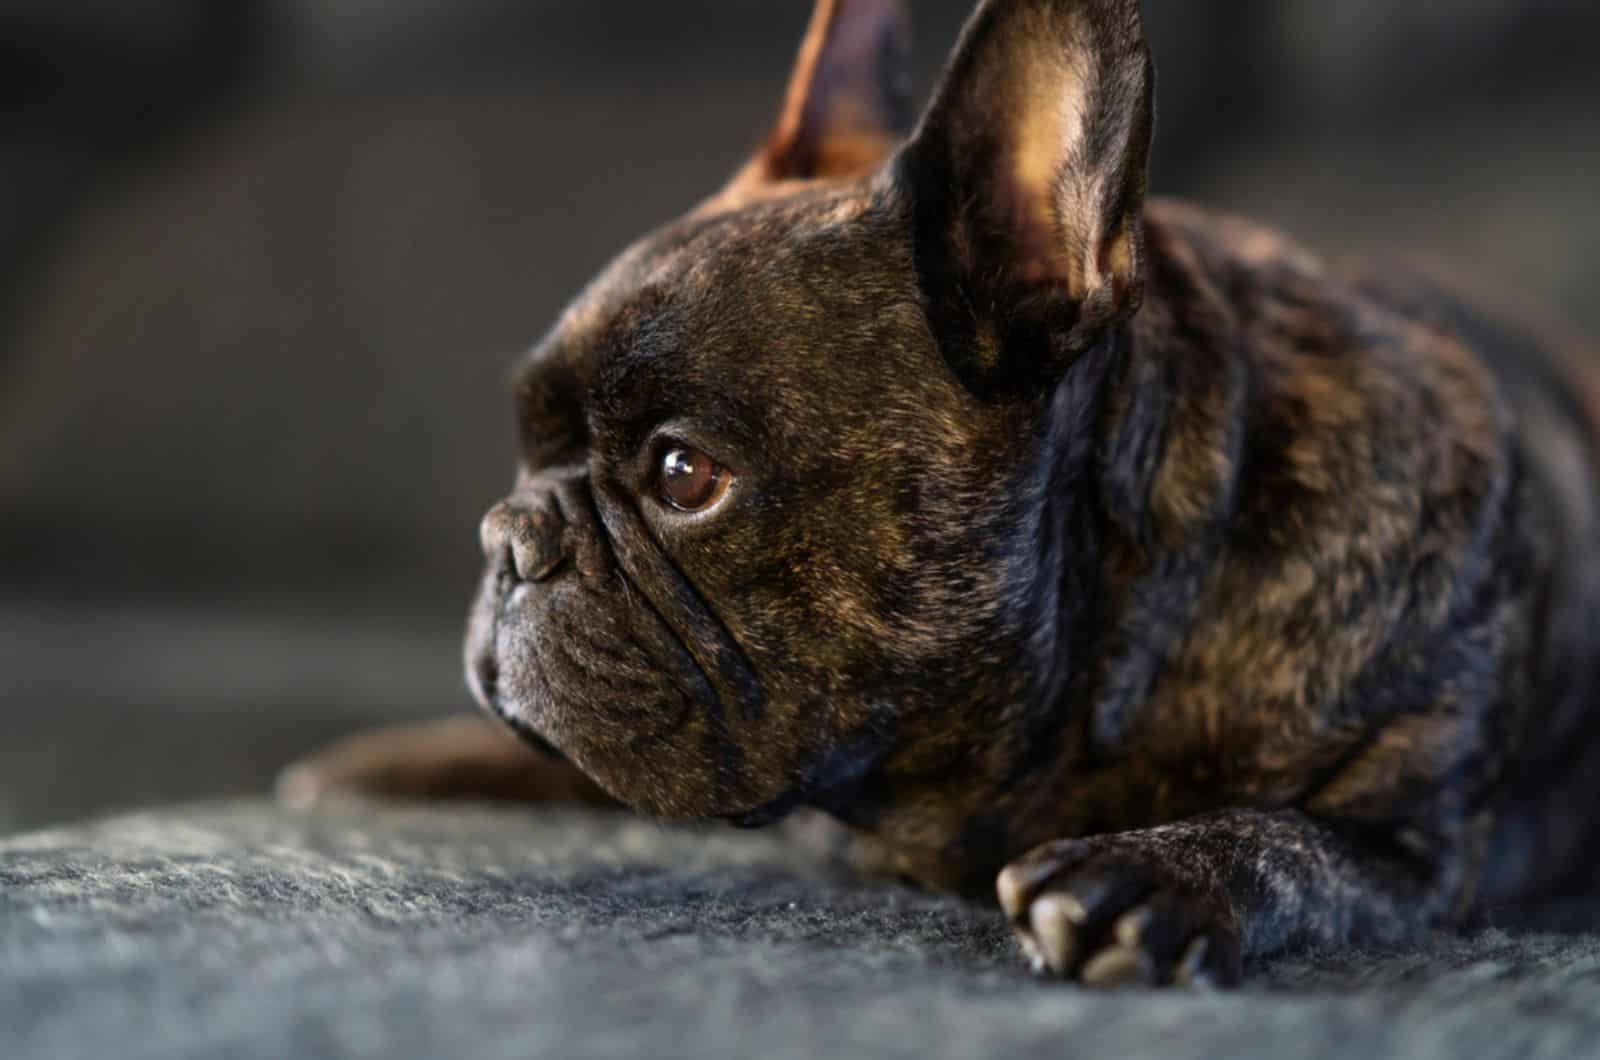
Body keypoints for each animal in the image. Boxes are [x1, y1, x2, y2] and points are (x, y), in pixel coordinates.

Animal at [281, 0, 1600, 992]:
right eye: (526, 447)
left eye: (681, 475)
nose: (511, 536)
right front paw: (404, 759)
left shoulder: (1423, 842)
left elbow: (1304, 845)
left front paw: (1158, 873)